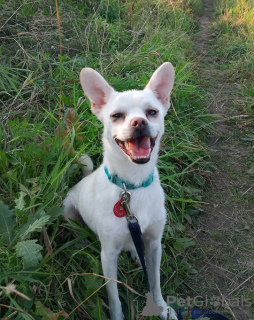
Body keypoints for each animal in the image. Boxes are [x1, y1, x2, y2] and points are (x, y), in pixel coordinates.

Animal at [64, 63, 177, 320]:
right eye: (116, 115)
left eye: (152, 112)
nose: (139, 122)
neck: (132, 186)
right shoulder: (108, 256)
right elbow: (114, 297)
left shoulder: (155, 245)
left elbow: (155, 282)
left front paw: (162, 308)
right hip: (67, 209)